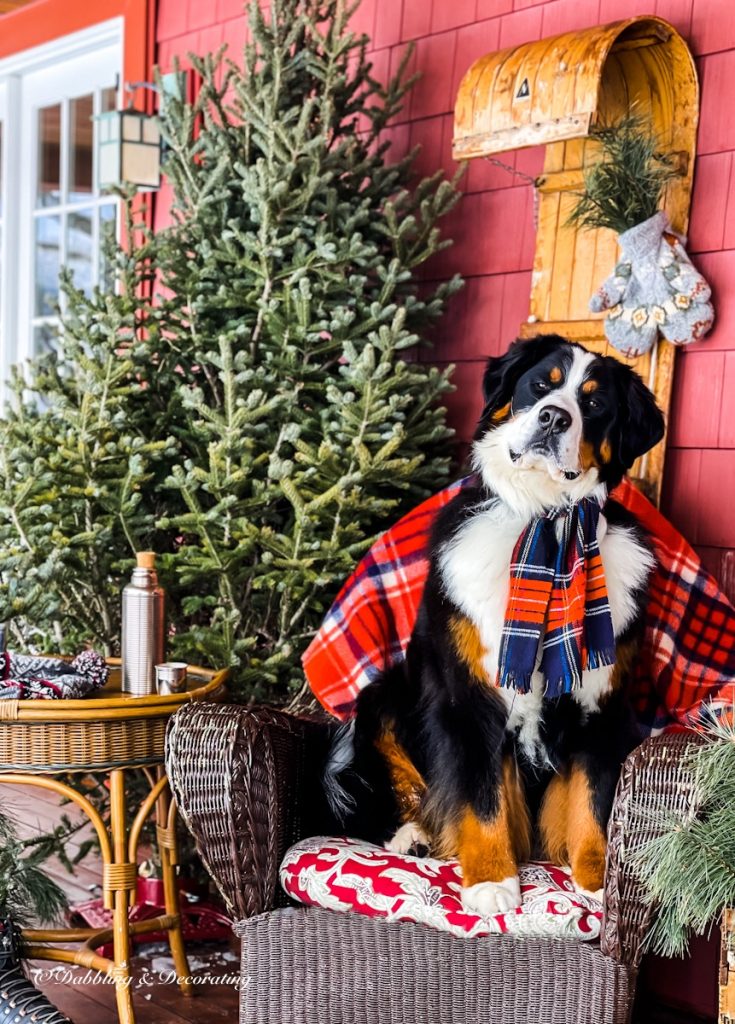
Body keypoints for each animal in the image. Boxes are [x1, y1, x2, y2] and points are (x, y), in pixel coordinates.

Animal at [325, 335, 663, 921]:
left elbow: (592, 800)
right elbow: (481, 796)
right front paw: (491, 881)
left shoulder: (601, 704)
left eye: (595, 403)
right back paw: (411, 836)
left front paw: (596, 880)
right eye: (541, 384)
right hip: (385, 694)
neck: (546, 522)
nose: (554, 418)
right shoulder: (467, 695)